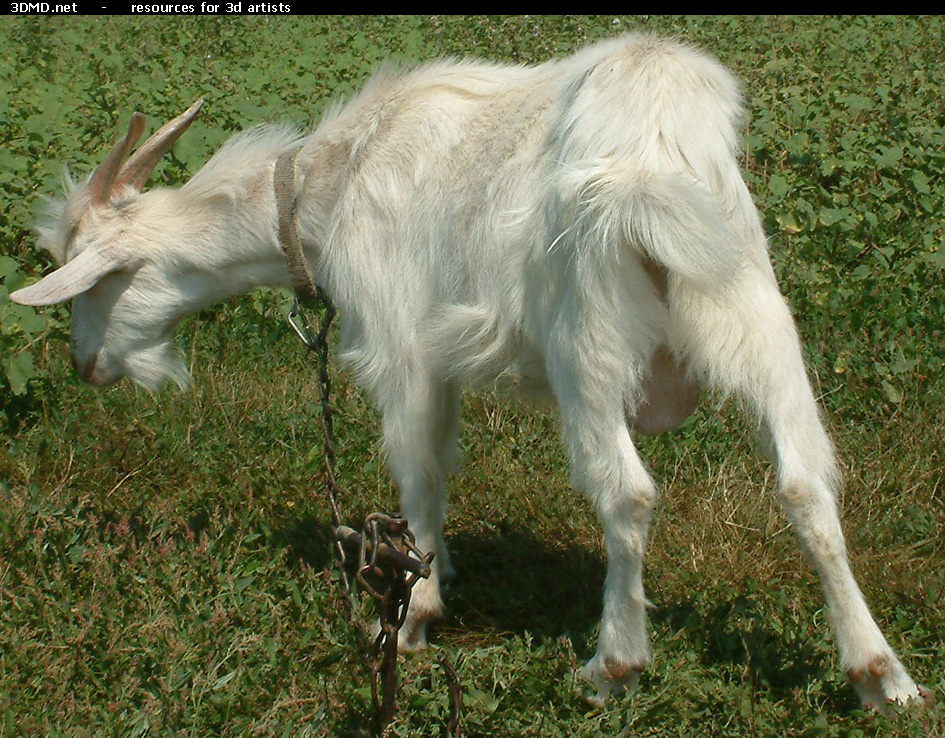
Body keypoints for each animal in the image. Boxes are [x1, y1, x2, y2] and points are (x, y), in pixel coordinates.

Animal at [12, 33, 928, 708]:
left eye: (88, 279)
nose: (83, 365)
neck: (327, 187)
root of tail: (654, 139)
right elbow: (438, 469)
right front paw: (433, 570)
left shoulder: (399, 346)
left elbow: (416, 470)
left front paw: (412, 615)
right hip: (752, 311)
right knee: (806, 484)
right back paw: (879, 674)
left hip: (588, 344)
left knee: (626, 494)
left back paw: (612, 664)